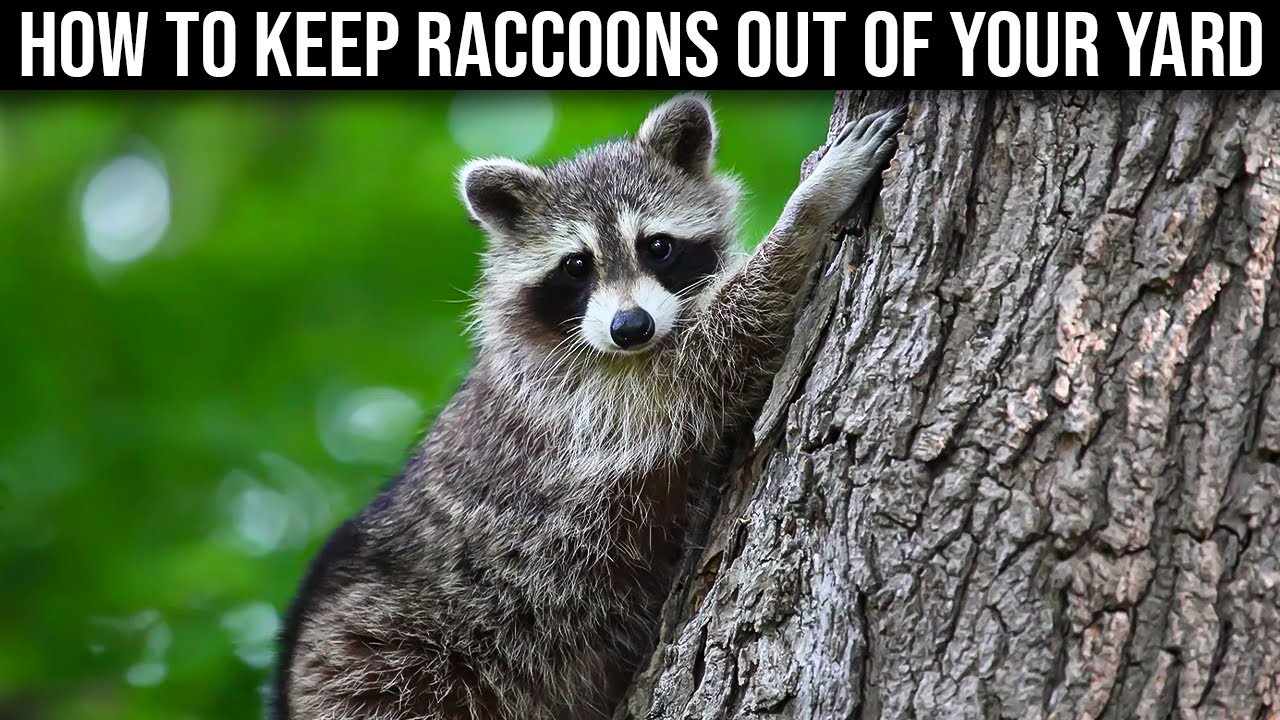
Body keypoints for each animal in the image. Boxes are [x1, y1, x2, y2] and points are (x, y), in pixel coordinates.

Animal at [273, 95, 905, 719]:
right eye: (576, 264)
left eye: (657, 246)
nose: (631, 327)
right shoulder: (580, 400)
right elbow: (714, 352)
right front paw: (808, 208)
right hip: (390, 669)